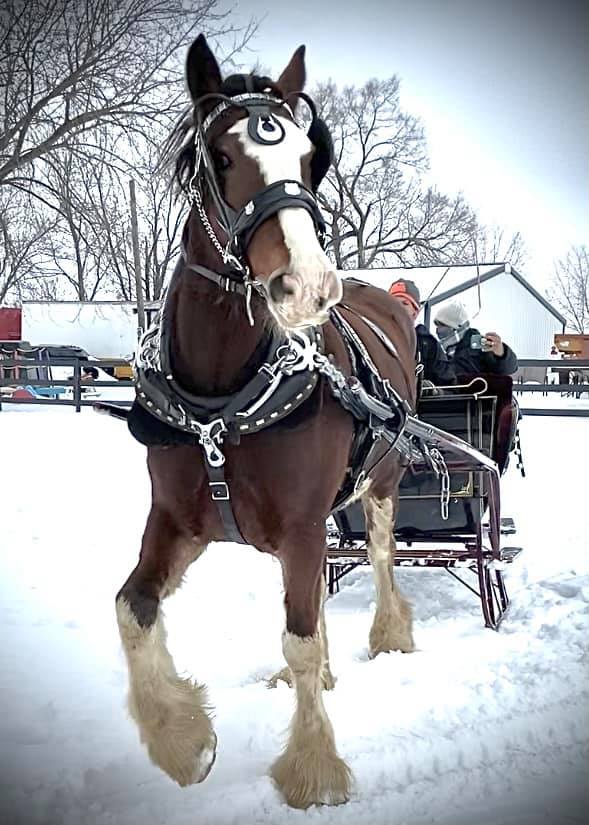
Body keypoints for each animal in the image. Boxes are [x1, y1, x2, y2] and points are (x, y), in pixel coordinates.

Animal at [115, 33, 416, 812]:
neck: (221, 400)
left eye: (310, 159)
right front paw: (183, 740)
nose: (307, 285)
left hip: (380, 482)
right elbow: (132, 608)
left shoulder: (304, 524)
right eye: (221, 157)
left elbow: (301, 639)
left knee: (378, 556)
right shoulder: (176, 520)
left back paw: (389, 633)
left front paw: (312, 769)